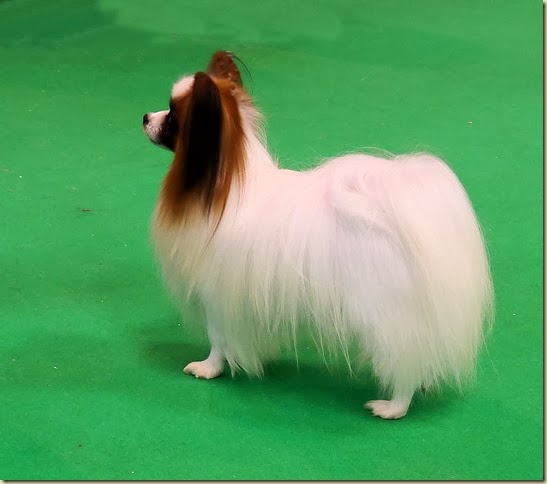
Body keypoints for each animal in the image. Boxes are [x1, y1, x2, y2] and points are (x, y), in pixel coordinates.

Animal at [142, 51, 493, 419]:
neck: (222, 186)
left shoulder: (217, 295)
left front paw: (209, 368)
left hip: (384, 314)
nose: (145, 117)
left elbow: (218, 339)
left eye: (173, 116)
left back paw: (392, 406)